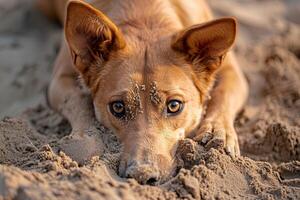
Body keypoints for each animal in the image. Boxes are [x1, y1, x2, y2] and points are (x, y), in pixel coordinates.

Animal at [37, 0, 248, 184]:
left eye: (174, 105)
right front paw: (84, 139)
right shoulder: (60, 78)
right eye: (118, 107)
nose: (142, 175)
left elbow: (223, 96)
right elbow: (78, 100)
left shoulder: (233, 73)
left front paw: (216, 132)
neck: (146, 15)